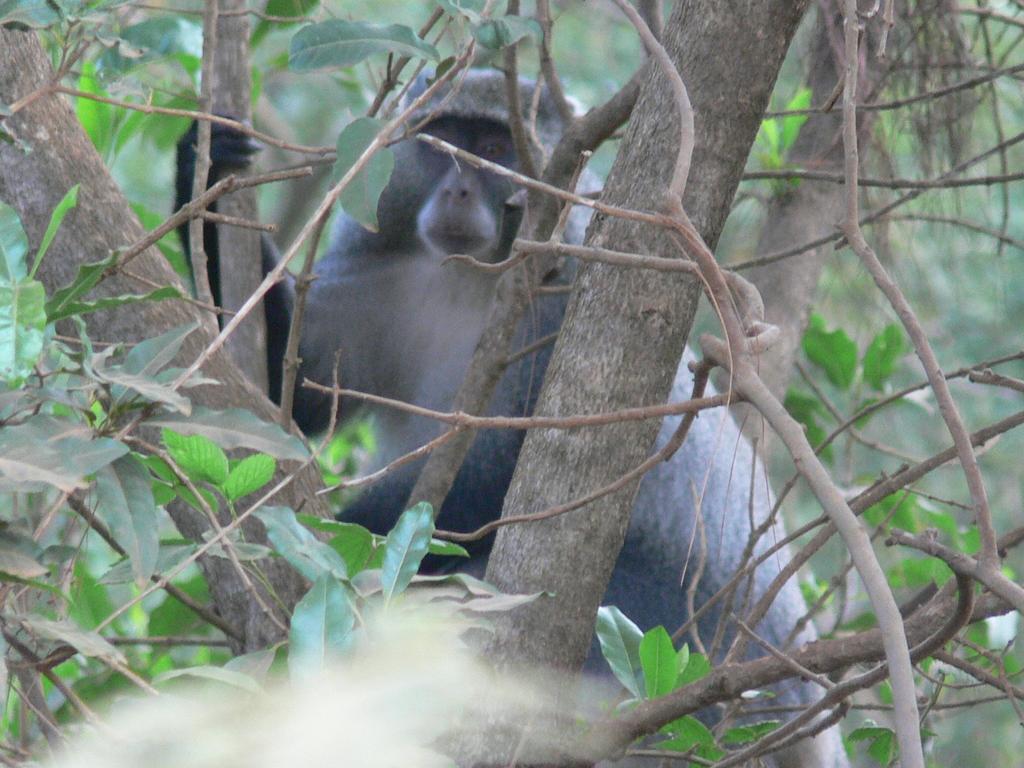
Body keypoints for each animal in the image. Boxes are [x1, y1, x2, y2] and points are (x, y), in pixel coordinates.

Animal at [176, 67, 847, 768]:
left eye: (496, 147)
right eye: (443, 138)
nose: (459, 188)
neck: (467, 277)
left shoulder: (560, 302)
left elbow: (512, 472)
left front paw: (336, 533)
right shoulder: (376, 274)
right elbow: (288, 386)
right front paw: (204, 160)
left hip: (681, 653)